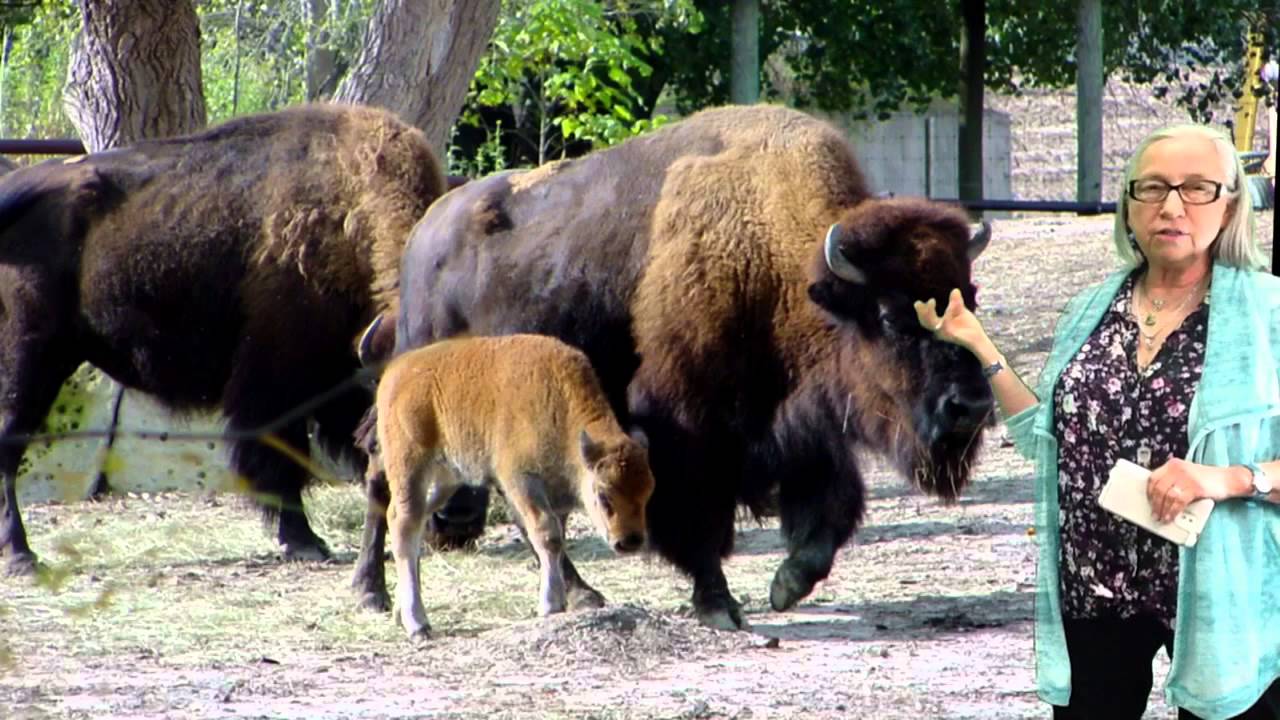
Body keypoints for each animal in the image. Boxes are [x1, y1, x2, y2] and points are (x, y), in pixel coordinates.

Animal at [0, 103, 446, 575]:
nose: (456, 521)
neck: (348, 210)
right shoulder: (276, 381)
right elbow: (281, 458)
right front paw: (305, 541)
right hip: (31, 358)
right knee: (9, 442)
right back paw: (21, 555)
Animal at [355, 104, 994, 629]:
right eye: (889, 315)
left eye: (969, 298)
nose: (971, 406)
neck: (778, 263)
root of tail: (424, 238)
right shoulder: (686, 430)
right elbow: (700, 522)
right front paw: (719, 605)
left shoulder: (801, 427)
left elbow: (828, 515)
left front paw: (786, 585)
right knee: (386, 477)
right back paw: (372, 594)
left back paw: (578, 594)